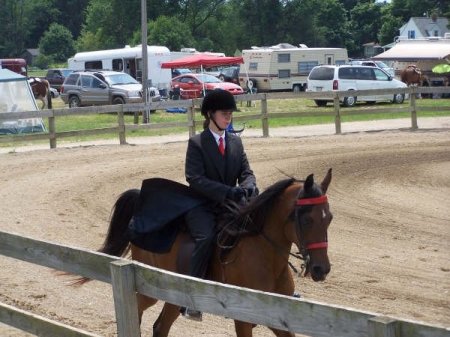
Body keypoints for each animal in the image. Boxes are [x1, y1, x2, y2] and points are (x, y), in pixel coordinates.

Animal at [77, 169, 332, 334]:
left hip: (173, 294)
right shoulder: (243, 318)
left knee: (160, 327)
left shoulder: (280, 318)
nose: (321, 269)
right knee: (136, 311)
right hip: (149, 290)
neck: (266, 258)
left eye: (329, 217)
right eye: (307, 220)